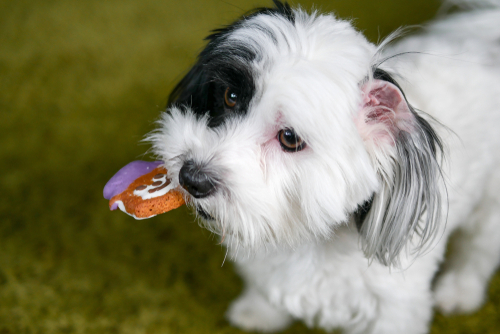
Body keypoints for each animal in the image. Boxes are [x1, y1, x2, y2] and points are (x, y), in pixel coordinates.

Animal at [145, 1, 500, 332]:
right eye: (230, 96)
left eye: (289, 138)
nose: (191, 177)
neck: (309, 235)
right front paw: (258, 312)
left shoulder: (395, 307)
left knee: (477, 249)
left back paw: (460, 291)